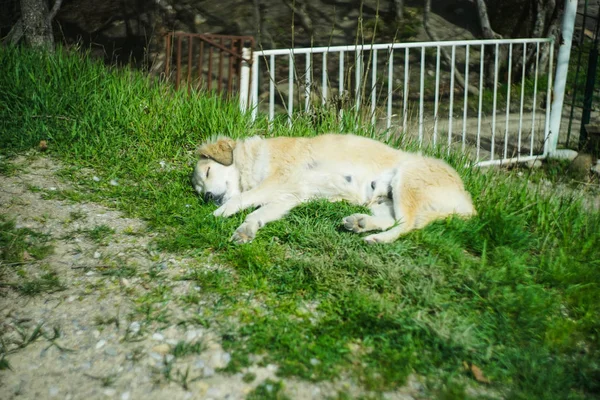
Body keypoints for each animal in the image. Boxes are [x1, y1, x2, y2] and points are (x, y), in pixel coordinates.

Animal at [190, 134, 476, 244]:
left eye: (208, 172)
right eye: (199, 189)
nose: (207, 197)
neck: (254, 158)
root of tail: (468, 204)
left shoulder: (277, 181)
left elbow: (242, 200)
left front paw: (218, 214)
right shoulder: (286, 198)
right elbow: (256, 214)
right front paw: (246, 230)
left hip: (406, 179)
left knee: (408, 226)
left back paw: (376, 239)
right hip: (382, 199)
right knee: (394, 220)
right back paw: (360, 223)